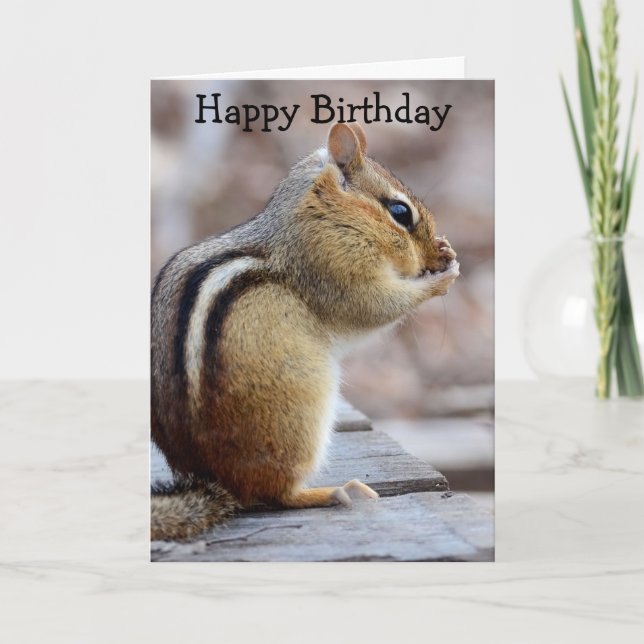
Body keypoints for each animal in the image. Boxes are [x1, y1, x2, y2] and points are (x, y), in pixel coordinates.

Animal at [151, 122, 459, 541]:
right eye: (400, 212)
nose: (433, 254)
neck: (320, 213)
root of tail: (215, 482)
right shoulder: (336, 265)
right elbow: (374, 307)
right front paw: (441, 277)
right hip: (300, 417)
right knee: (277, 494)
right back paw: (335, 492)